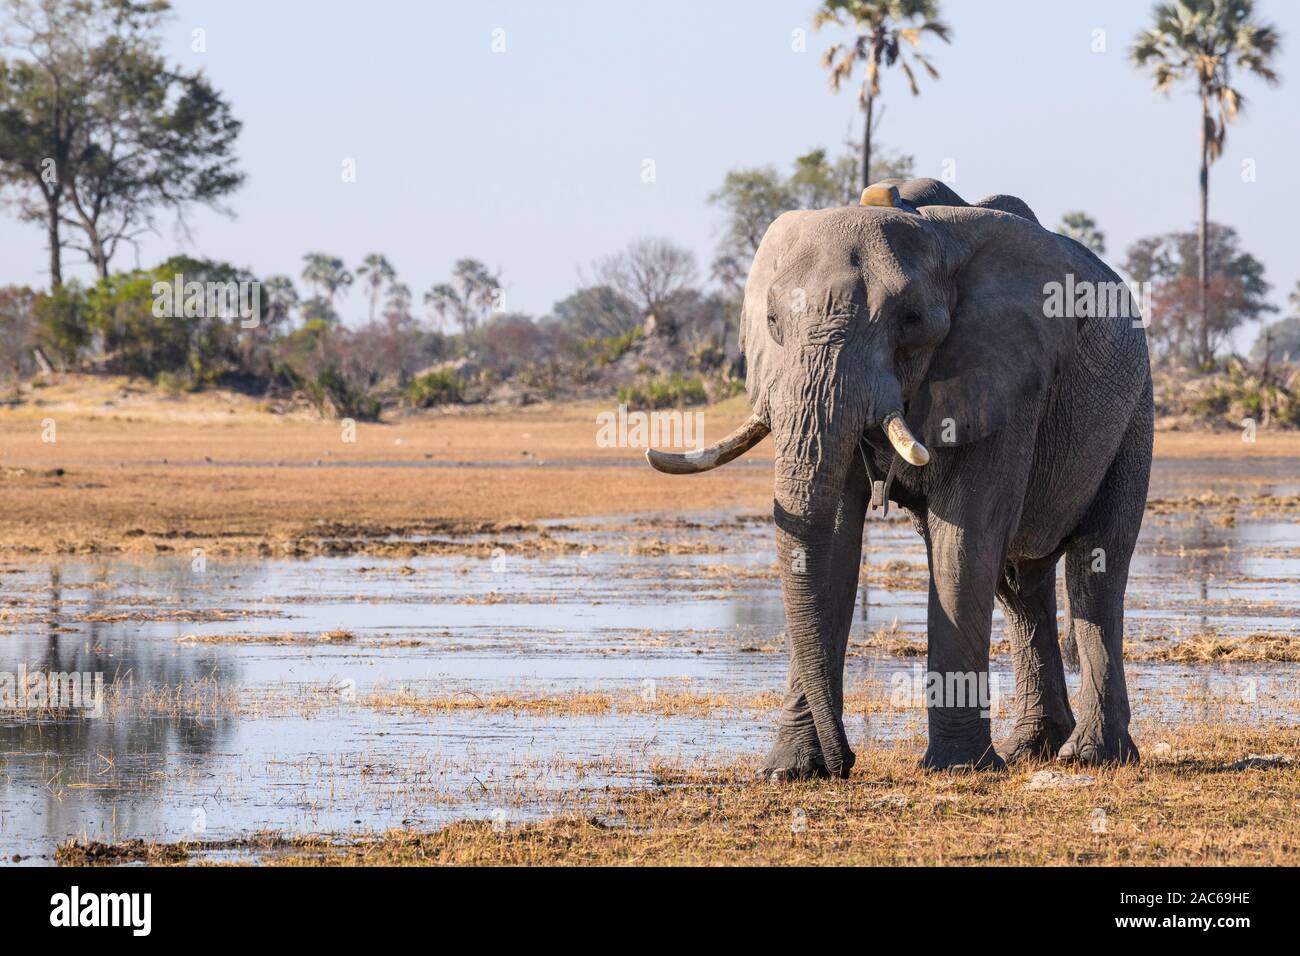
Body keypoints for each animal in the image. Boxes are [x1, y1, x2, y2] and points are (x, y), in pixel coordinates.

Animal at [647, 177, 1152, 779]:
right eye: (772, 324)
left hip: (1135, 409)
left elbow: (965, 537)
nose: (847, 760)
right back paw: (1031, 749)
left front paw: (958, 769)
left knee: (1096, 569)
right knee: (1019, 584)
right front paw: (791, 771)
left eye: (911, 322)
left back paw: (1094, 755)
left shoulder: (1007, 377)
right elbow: (834, 539)